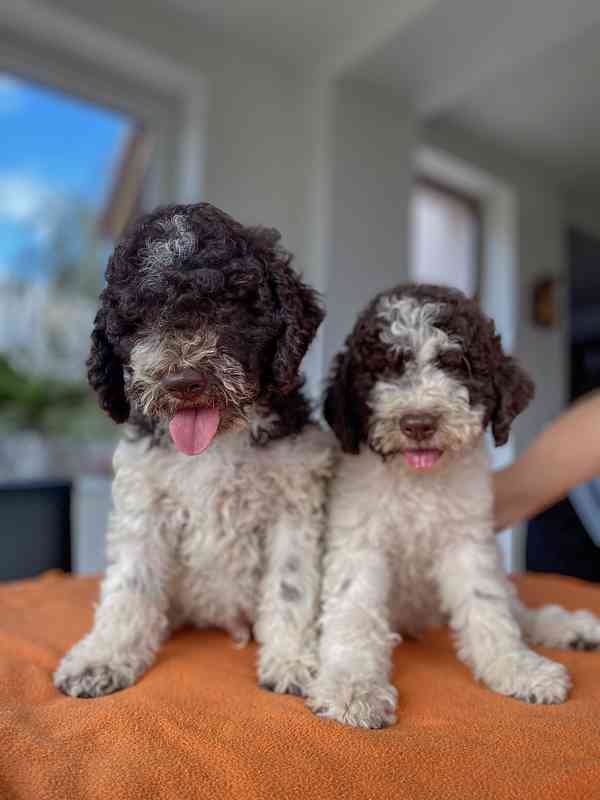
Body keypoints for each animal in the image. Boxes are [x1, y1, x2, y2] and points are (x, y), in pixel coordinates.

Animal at [53, 202, 336, 700]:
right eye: (139, 317)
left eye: (228, 303)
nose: (183, 381)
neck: (217, 442)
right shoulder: (144, 503)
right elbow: (130, 583)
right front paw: (104, 655)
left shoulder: (294, 504)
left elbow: (290, 586)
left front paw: (292, 661)